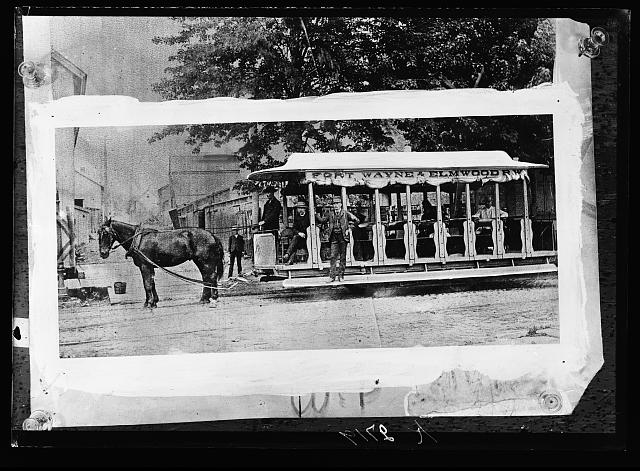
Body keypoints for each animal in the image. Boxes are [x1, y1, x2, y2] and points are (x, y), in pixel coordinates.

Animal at [96, 218, 224, 310]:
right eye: (98, 233)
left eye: (106, 233)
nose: (103, 253)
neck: (138, 240)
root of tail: (212, 235)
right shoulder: (148, 266)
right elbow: (151, 283)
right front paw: (152, 302)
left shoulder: (145, 266)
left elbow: (147, 284)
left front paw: (149, 303)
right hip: (200, 261)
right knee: (206, 278)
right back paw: (204, 299)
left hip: (205, 262)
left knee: (211, 277)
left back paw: (213, 298)